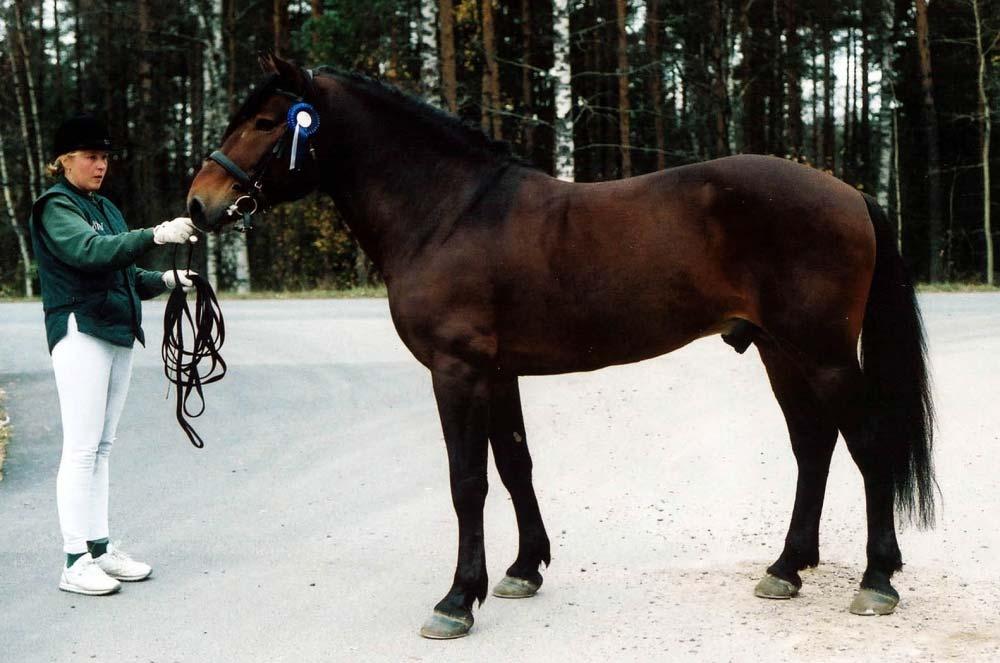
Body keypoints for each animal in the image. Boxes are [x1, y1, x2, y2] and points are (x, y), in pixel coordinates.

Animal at [188, 55, 936, 640]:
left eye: (267, 122)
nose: (200, 202)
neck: (446, 213)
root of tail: (849, 194)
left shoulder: (457, 371)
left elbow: (467, 480)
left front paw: (456, 600)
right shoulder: (497, 372)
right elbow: (515, 464)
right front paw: (523, 569)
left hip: (824, 352)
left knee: (868, 444)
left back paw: (876, 580)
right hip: (781, 350)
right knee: (813, 446)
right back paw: (786, 568)